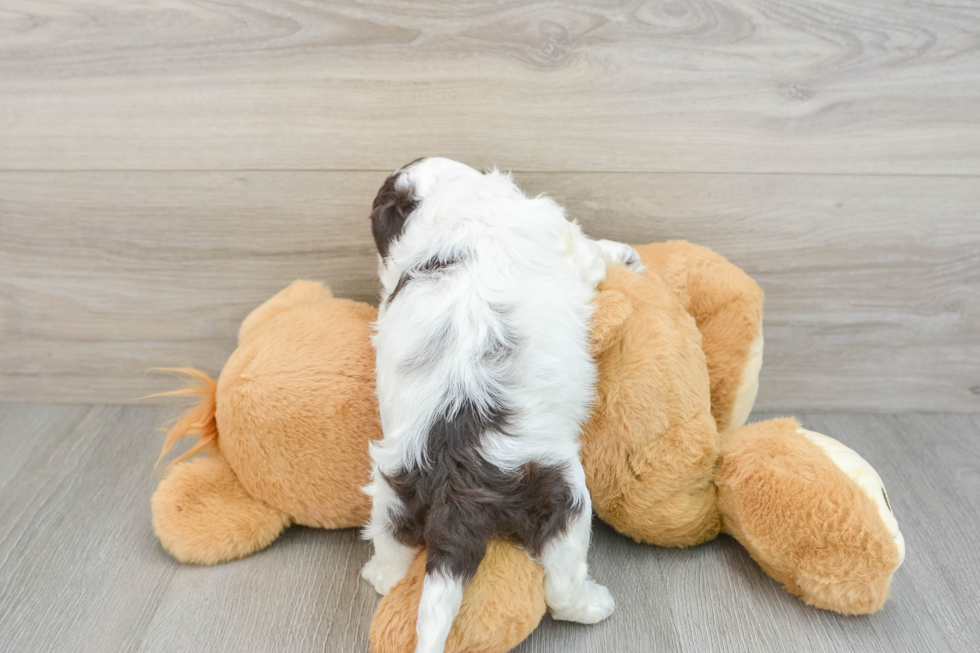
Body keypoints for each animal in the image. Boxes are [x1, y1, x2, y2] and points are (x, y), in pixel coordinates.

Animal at [364, 158, 640, 652]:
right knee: (561, 585)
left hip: (395, 496)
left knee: (392, 557)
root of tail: (455, 487)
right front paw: (625, 253)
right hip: (562, 495)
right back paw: (593, 605)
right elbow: (591, 253)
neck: (454, 207)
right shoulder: (561, 233)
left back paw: (380, 575)